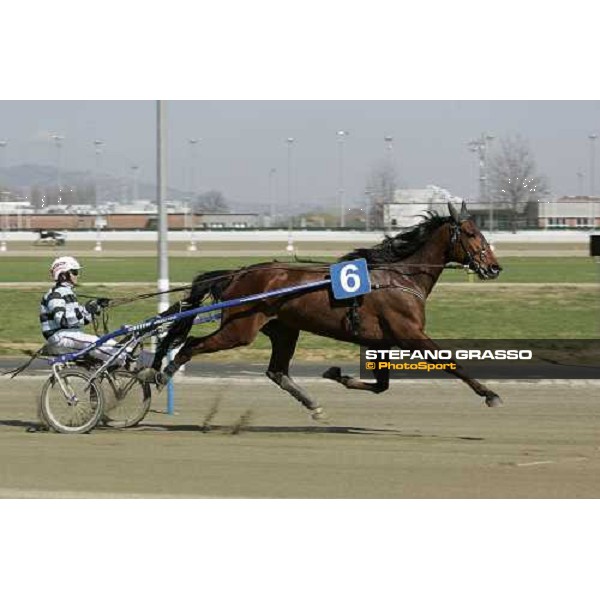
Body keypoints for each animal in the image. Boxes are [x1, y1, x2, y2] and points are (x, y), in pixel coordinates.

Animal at [143, 202, 504, 418]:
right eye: (470, 233)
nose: (494, 267)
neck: (399, 276)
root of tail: (238, 273)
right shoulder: (409, 333)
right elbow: (451, 363)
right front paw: (490, 393)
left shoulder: (381, 341)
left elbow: (382, 385)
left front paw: (336, 374)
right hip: (239, 329)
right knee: (191, 345)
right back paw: (161, 374)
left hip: (284, 329)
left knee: (276, 372)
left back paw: (313, 405)